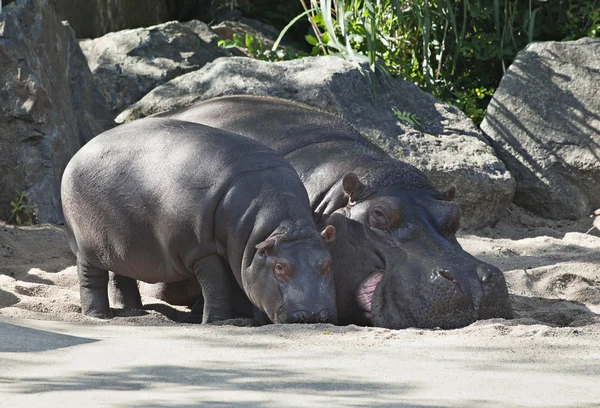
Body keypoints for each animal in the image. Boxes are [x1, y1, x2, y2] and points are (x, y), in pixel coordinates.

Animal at [64, 117, 342, 322]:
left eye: (328, 263)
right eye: (280, 267)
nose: (313, 315)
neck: (279, 228)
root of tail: (79, 152)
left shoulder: (246, 254)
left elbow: (245, 284)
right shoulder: (201, 250)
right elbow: (217, 285)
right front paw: (219, 321)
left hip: (120, 244)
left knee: (121, 276)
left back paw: (134, 311)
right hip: (86, 245)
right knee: (91, 278)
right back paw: (99, 316)